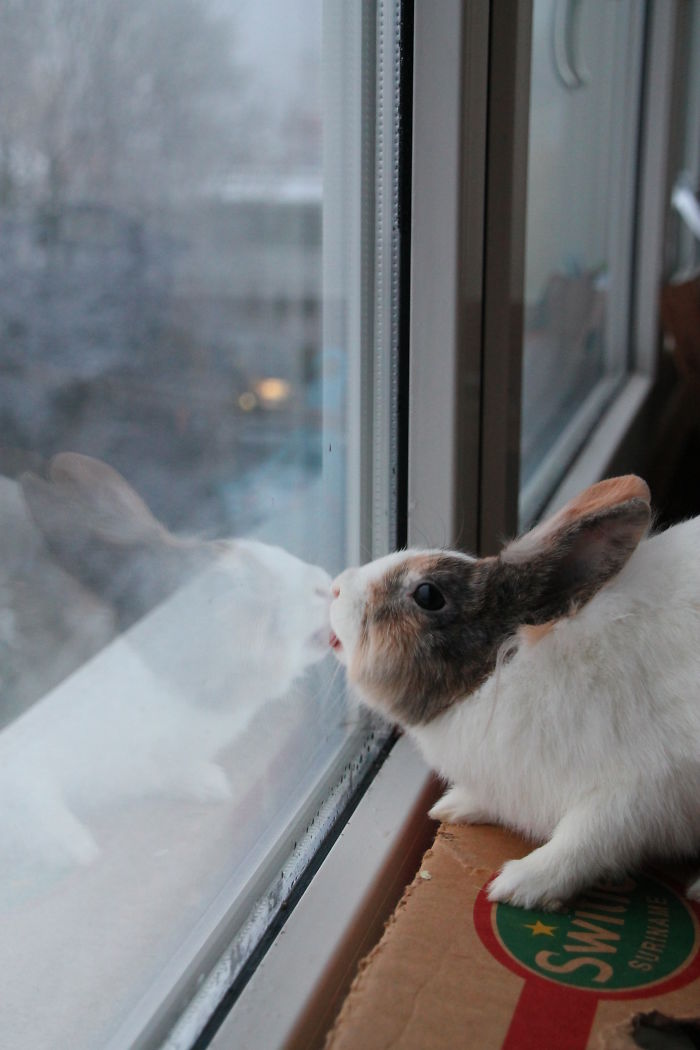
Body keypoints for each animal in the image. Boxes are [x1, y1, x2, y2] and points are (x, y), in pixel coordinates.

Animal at [0, 455, 333, 865]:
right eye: (232, 594)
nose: (324, 585)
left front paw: (211, 784)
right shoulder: (22, 761)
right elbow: (34, 802)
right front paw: (75, 848)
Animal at [331, 478, 700, 911]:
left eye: (427, 595)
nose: (336, 588)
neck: (498, 676)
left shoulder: (639, 789)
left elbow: (585, 841)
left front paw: (519, 885)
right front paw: (454, 806)